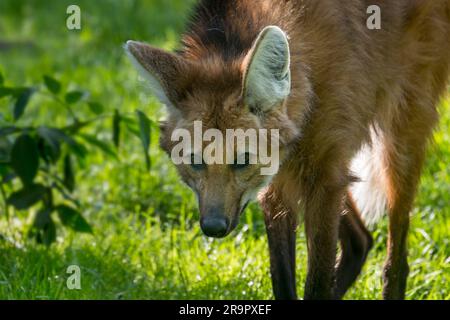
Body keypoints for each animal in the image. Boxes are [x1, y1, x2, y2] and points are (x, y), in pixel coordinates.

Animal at [125, 0, 450, 300]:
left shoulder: (323, 176)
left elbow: (316, 281)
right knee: (361, 240)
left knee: (397, 256)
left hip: (399, 136)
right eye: (194, 160)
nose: (214, 227)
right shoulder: (279, 179)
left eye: (243, 160)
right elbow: (281, 275)